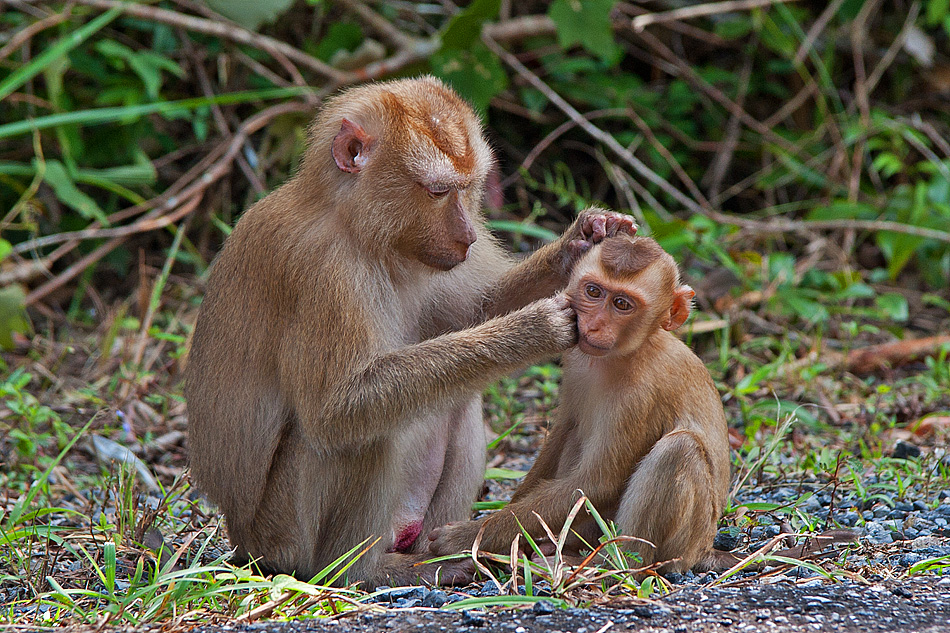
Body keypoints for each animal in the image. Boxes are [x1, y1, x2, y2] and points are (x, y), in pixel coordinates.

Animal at [184, 78, 632, 588]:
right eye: (437, 191)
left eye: (468, 189)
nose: (468, 236)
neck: (357, 225)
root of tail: (244, 541)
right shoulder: (322, 271)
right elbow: (337, 408)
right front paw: (531, 330)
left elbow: (473, 312)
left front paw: (583, 238)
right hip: (282, 534)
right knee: (361, 433)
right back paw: (359, 571)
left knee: (456, 402)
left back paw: (440, 554)